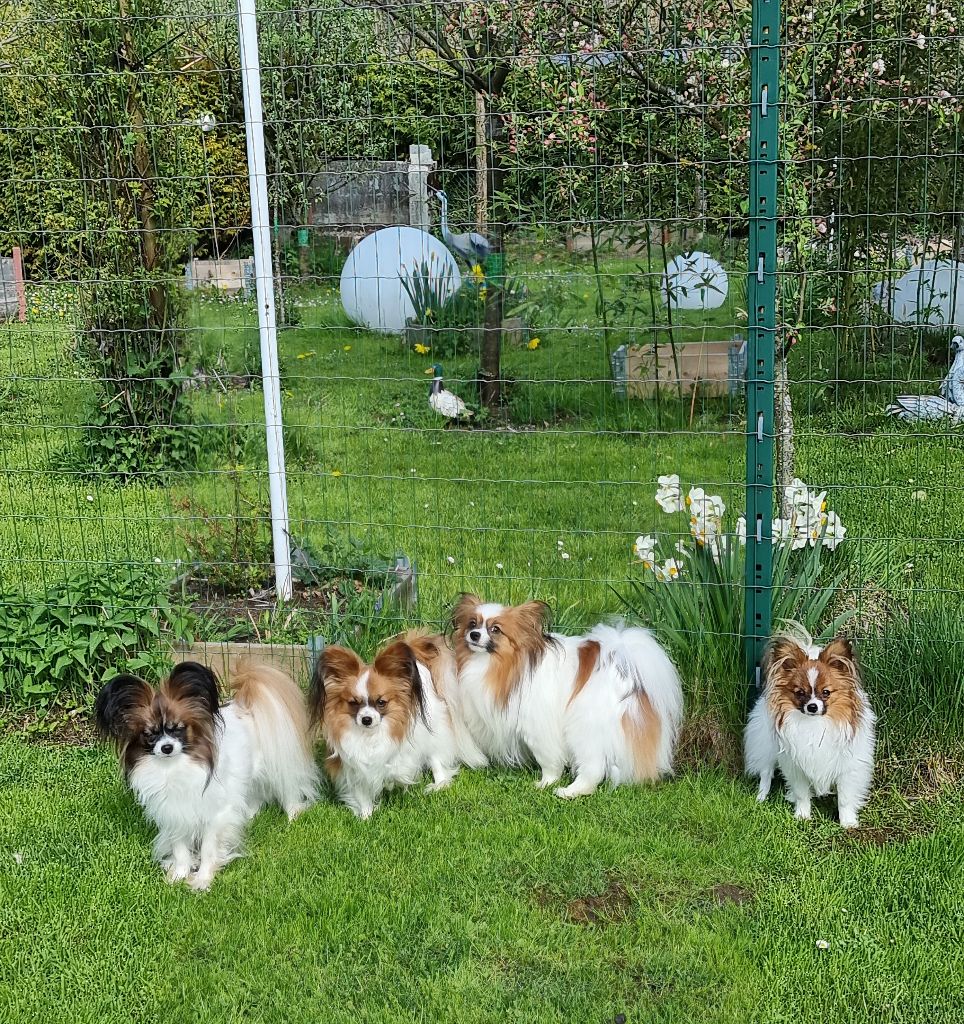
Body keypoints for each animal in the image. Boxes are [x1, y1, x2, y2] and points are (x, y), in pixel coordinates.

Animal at [96, 663, 317, 888]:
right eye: (150, 734)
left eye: (178, 729)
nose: (166, 748)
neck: (173, 768)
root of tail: (245, 707)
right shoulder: (174, 813)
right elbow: (180, 849)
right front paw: (179, 874)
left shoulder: (213, 816)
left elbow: (208, 849)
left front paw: (202, 879)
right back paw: (249, 814)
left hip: (277, 764)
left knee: (288, 788)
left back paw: (293, 814)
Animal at [309, 626, 485, 819]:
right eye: (354, 703)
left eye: (381, 702)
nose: (366, 719)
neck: (370, 735)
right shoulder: (352, 769)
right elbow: (361, 791)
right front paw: (366, 816)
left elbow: (395, 764)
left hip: (434, 728)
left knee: (436, 756)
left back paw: (439, 784)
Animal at [446, 593, 680, 798]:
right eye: (472, 624)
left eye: (495, 629)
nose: (474, 635)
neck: (510, 664)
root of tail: (627, 675)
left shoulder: (537, 727)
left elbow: (548, 760)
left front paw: (545, 783)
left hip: (584, 726)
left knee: (593, 767)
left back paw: (571, 792)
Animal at [741, 626, 876, 827]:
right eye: (800, 693)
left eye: (826, 692)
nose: (812, 706)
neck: (815, 724)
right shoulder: (795, 766)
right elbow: (801, 793)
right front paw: (802, 815)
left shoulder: (848, 766)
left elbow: (844, 798)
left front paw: (847, 822)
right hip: (766, 746)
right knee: (766, 773)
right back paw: (761, 798)